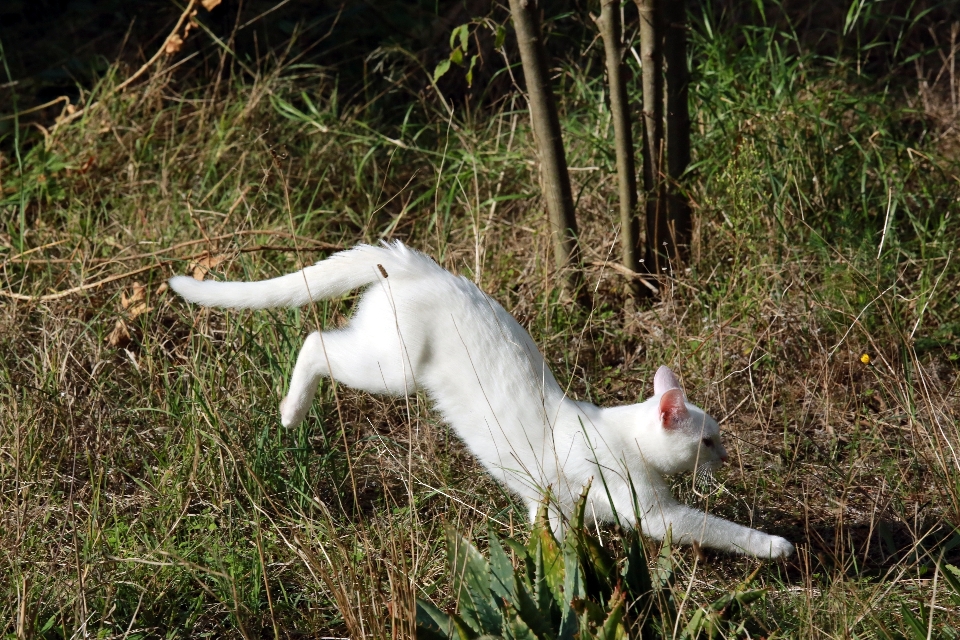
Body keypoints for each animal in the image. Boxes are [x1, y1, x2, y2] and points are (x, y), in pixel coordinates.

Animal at [171, 240, 796, 556]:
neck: (621, 435)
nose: (725, 456)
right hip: (389, 369)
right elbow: (719, 529)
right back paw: (289, 411)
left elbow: (553, 541)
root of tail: (418, 264)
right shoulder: (657, 514)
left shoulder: (549, 502)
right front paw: (777, 546)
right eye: (708, 440)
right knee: (314, 342)